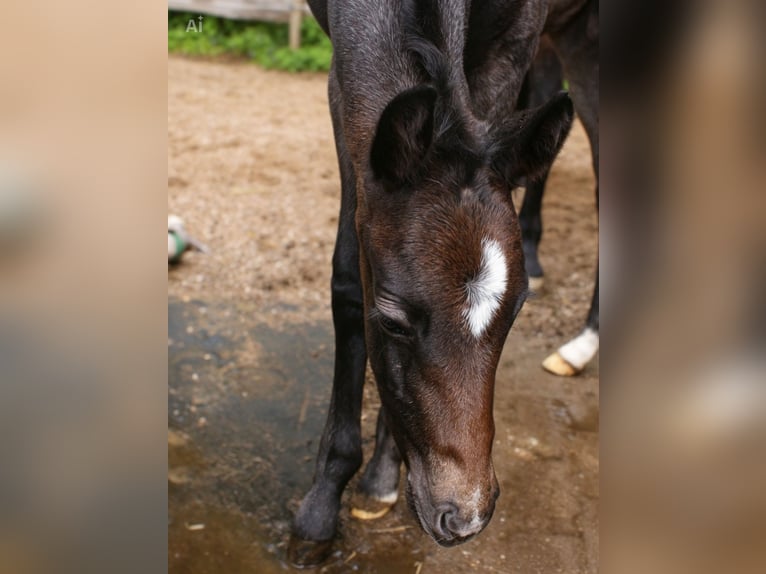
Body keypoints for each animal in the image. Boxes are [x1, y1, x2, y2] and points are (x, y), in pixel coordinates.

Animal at [288, 0, 598, 567]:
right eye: (392, 321)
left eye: (515, 311)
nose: (464, 518)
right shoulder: (343, 85)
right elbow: (348, 279)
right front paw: (321, 508)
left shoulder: (513, 49)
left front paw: (381, 477)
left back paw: (584, 344)